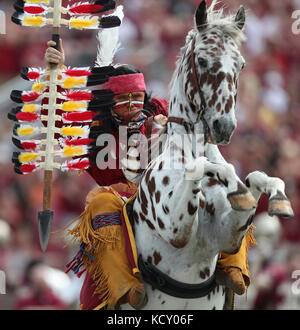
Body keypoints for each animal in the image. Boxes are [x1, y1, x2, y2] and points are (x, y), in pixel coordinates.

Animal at [123, 0, 292, 310]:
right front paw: (235, 185)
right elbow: (205, 166)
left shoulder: (227, 234)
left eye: (241, 64)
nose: (224, 126)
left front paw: (275, 197)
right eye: (201, 60)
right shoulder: (175, 228)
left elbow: (257, 178)